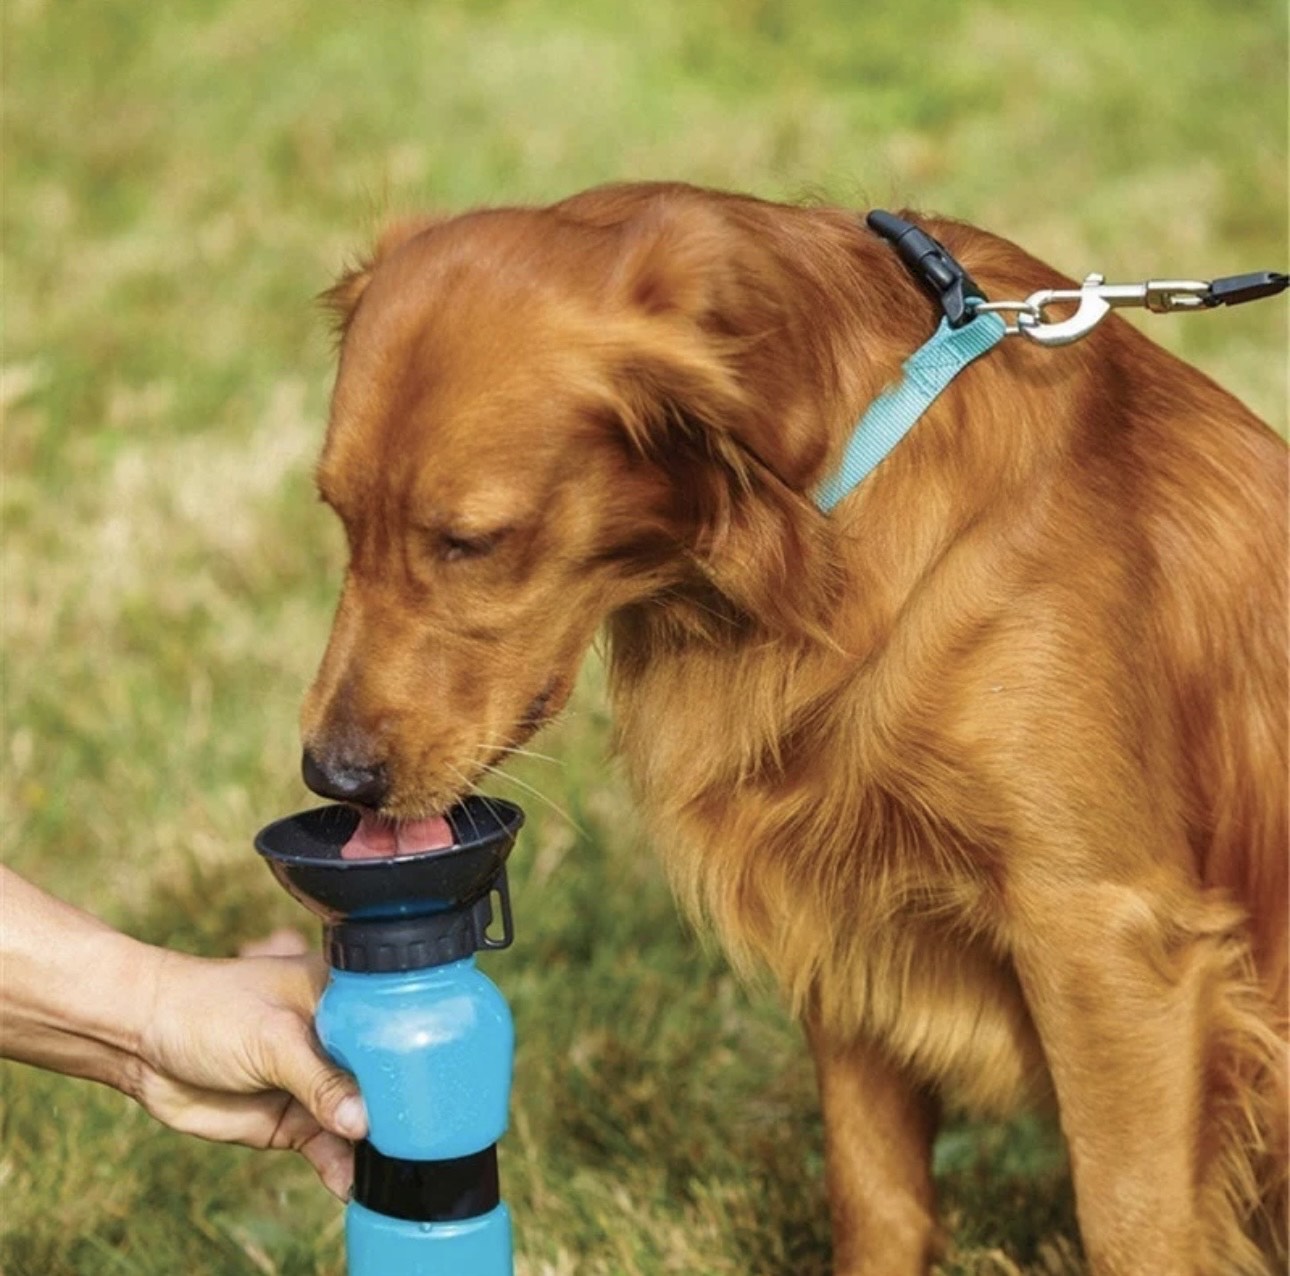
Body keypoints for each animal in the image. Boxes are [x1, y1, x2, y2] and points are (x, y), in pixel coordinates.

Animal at [296, 181, 1284, 1274]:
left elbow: (1130, 1222)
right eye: (338, 515)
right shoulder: (848, 911)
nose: (331, 776)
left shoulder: (1109, 936)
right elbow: (874, 1196)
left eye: (470, 541)